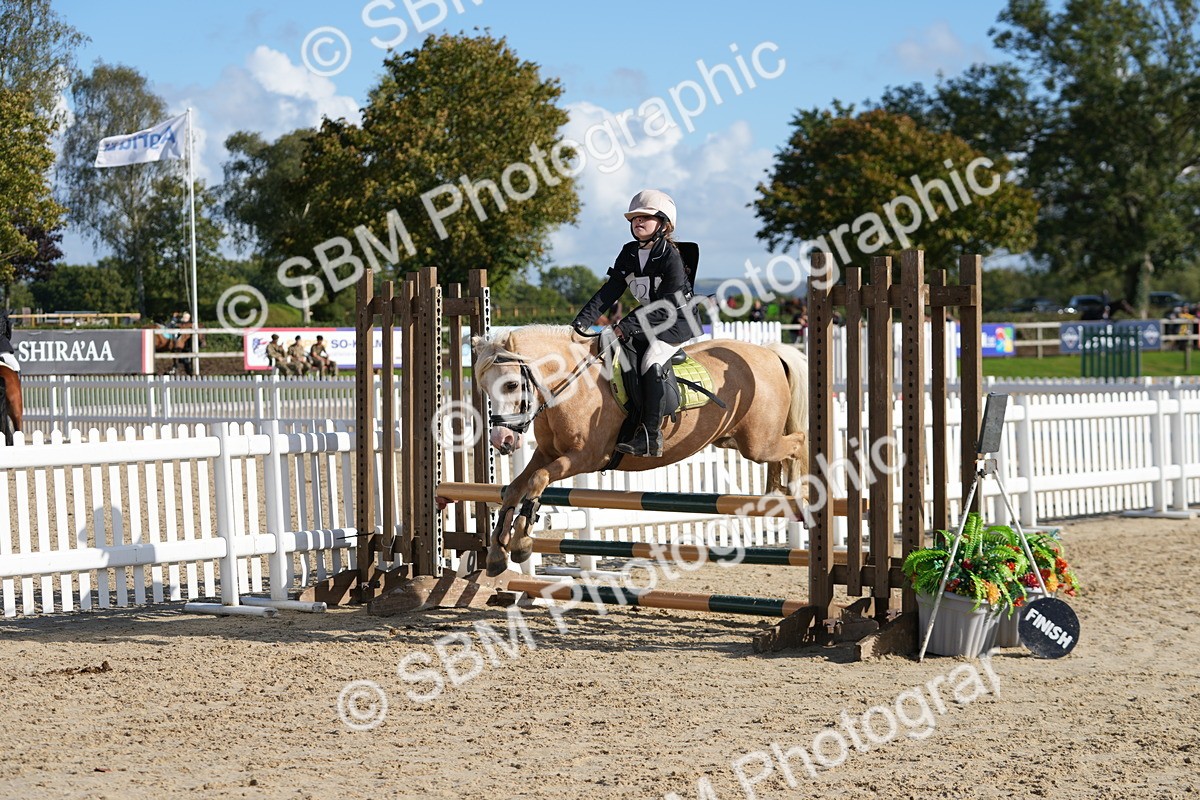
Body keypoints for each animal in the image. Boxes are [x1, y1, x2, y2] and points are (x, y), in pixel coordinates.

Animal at [471, 325, 809, 576]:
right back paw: (781, 493)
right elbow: (515, 489)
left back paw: (801, 492)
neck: (571, 384)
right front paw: (497, 553)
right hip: (736, 440)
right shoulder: (547, 453)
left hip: (758, 444)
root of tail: (769, 352)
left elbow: (537, 480)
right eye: (483, 387)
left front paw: (521, 542)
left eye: (511, 385)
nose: (501, 440)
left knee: (799, 441)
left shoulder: (585, 457)